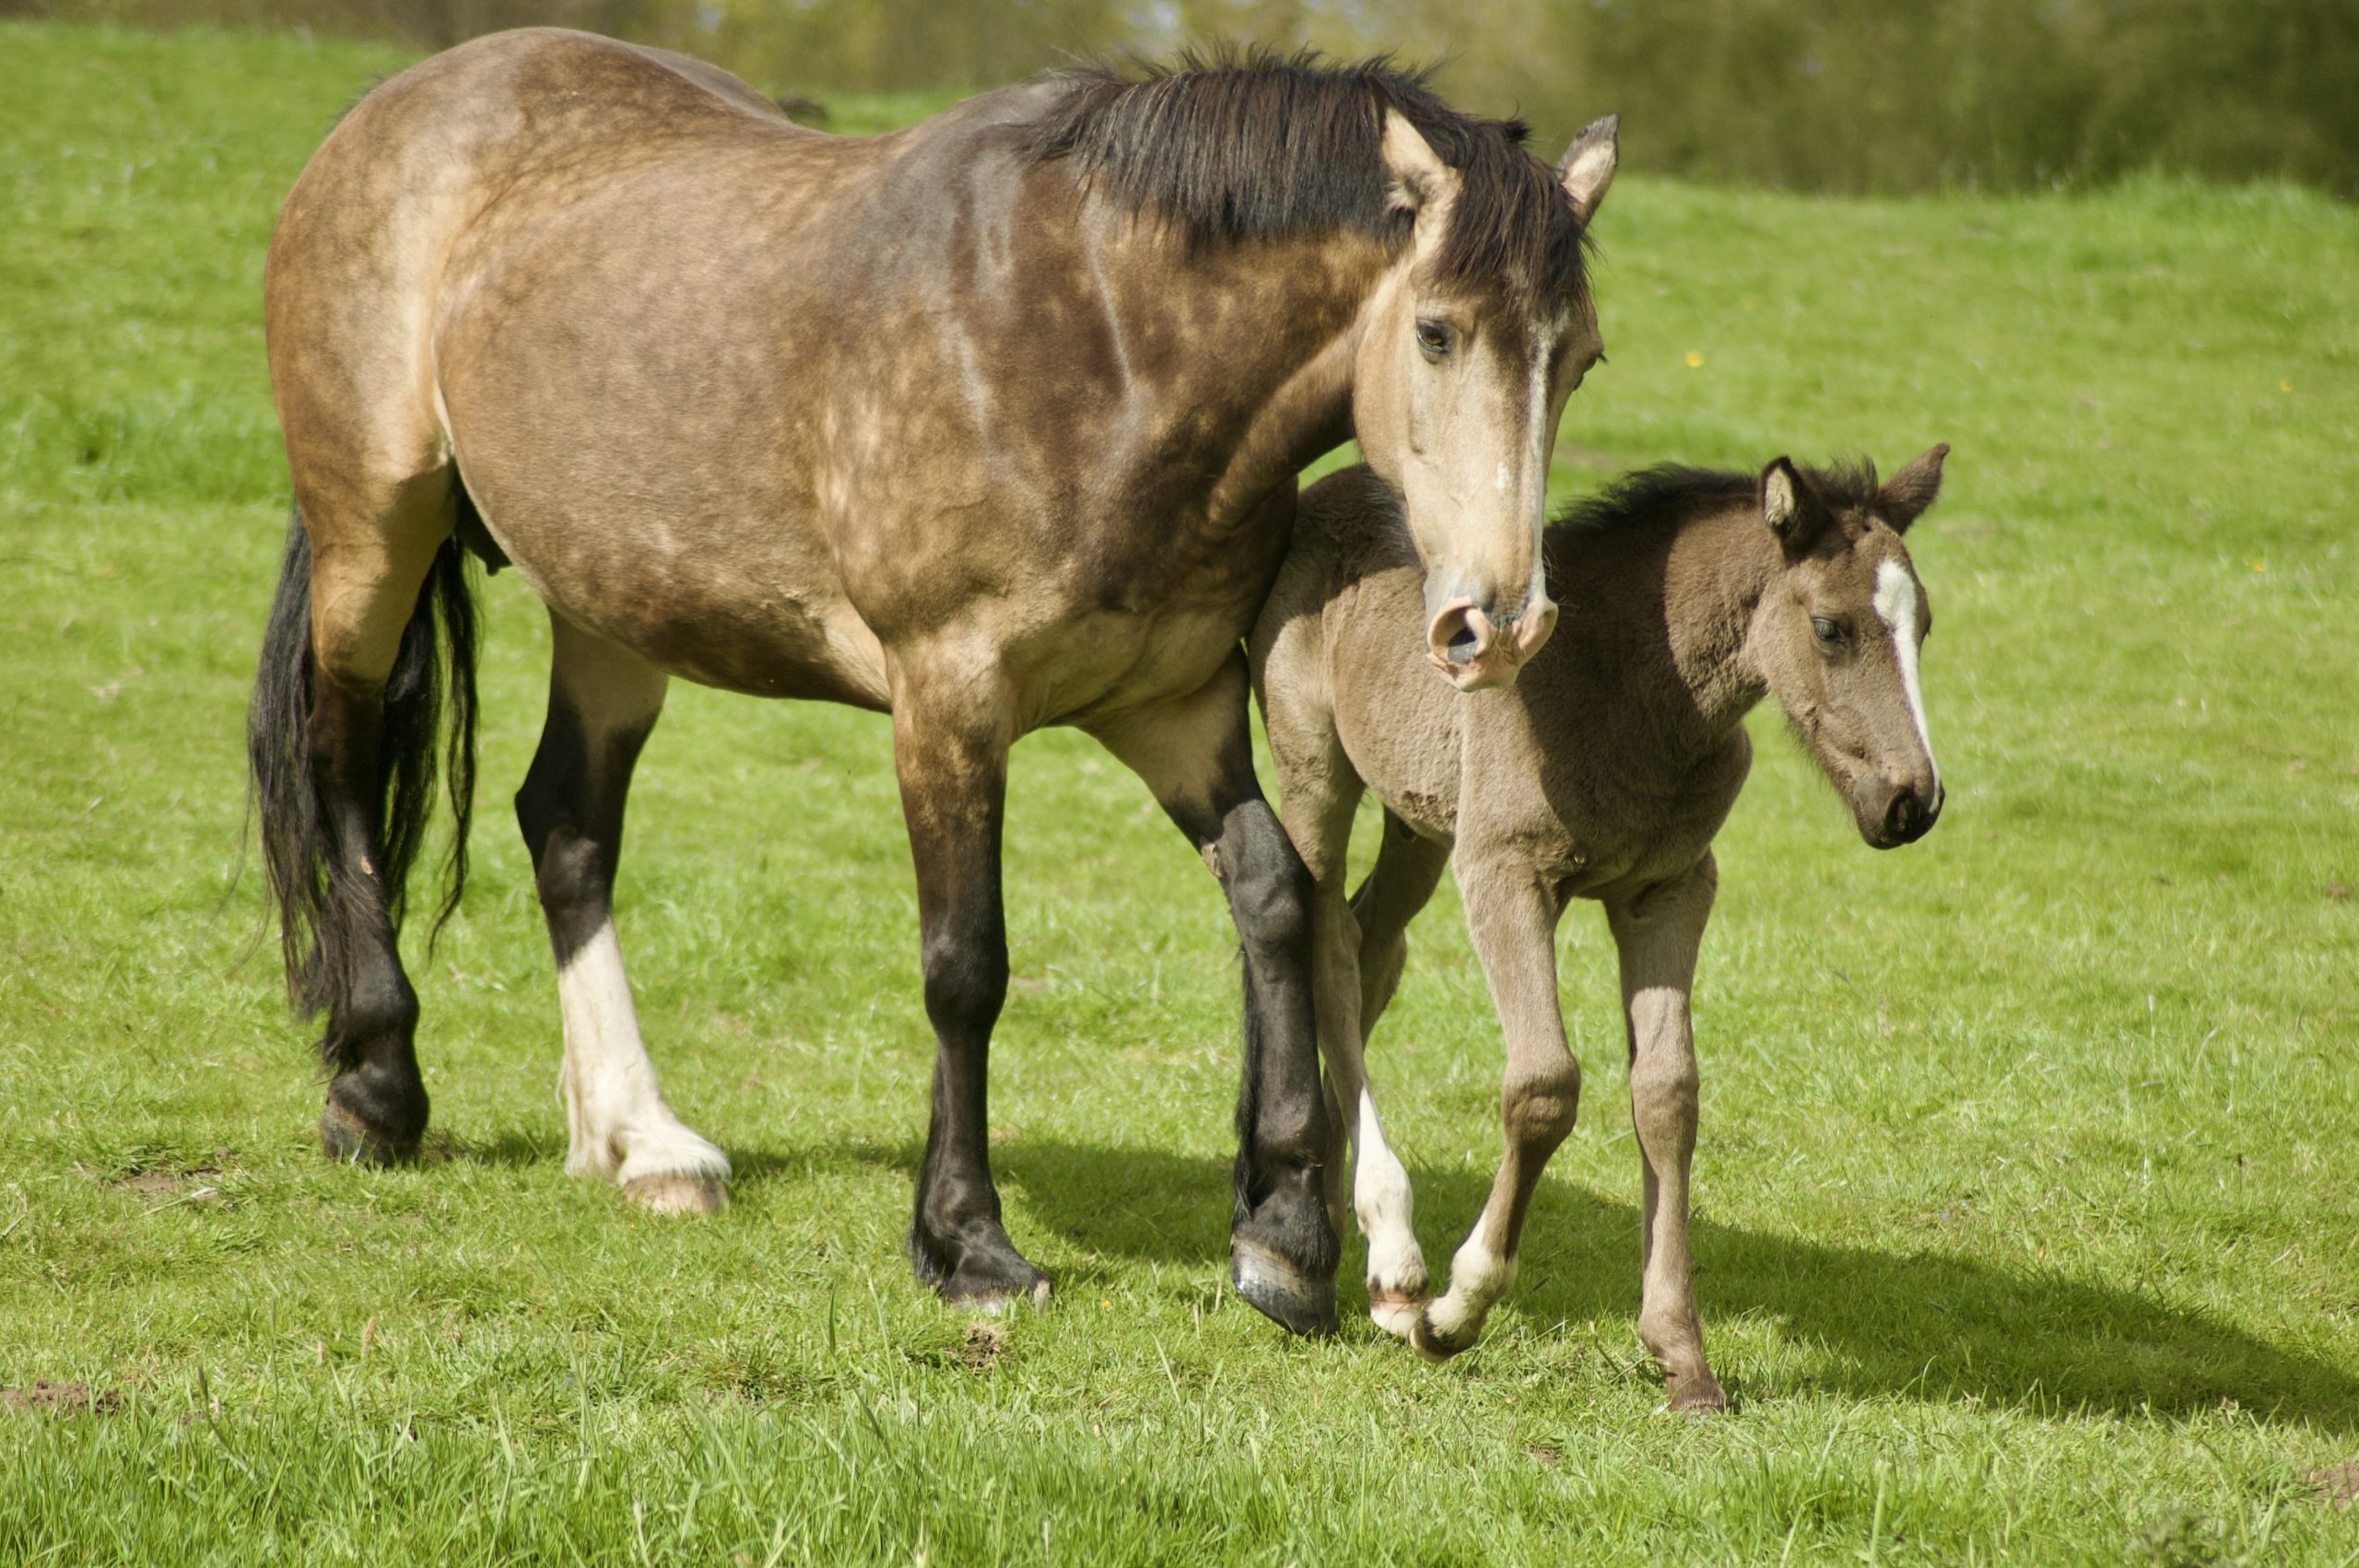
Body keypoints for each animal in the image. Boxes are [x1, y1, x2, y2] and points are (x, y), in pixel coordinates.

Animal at [246, 28, 1620, 1334]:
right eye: (1436, 330)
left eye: (1583, 359)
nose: (1499, 624)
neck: (1103, 340)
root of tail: (393, 111)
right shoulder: (950, 702)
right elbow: (967, 964)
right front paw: (968, 1244)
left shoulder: (1171, 708)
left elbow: (1276, 900)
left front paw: (1283, 1232)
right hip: (373, 537)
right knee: (342, 760)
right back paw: (377, 1086)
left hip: (615, 606)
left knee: (568, 827)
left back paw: (639, 1140)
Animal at [1251, 445, 1947, 1387]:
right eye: (1831, 628)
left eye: (1925, 627)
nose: (1913, 802)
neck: (1630, 691)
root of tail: (1334, 483)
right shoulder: (1504, 872)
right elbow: (1545, 1084)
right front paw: (1457, 1309)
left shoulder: (1671, 890)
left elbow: (1668, 1095)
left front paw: (1682, 1353)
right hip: (1315, 768)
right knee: (1327, 948)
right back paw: (1394, 1257)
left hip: (1419, 821)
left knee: (1371, 948)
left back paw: (1342, 1241)